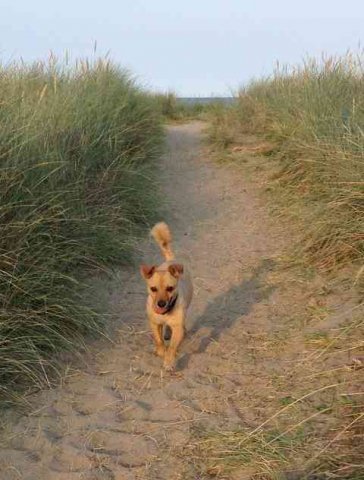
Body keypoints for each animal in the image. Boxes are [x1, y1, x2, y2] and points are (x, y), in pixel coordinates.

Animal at [139, 222, 193, 372]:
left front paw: (169, 362)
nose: (161, 304)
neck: (165, 314)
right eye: (153, 289)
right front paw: (160, 351)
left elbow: (172, 347)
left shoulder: (177, 327)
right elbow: (159, 341)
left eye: (170, 288)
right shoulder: (154, 323)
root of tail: (171, 260)